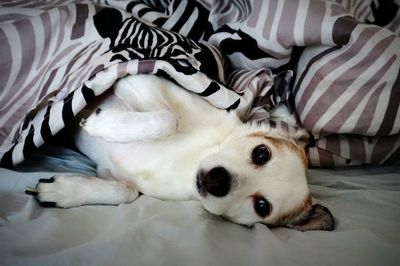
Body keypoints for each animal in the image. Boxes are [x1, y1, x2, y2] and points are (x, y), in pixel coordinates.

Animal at [25, 74, 334, 231]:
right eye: (261, 153)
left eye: (262, 207)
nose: (217, 180)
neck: (191, 163)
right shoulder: (136, 80)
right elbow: (168, 118)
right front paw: (102, 123)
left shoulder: (112, 175)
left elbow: (126, 192)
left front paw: (63, 191)